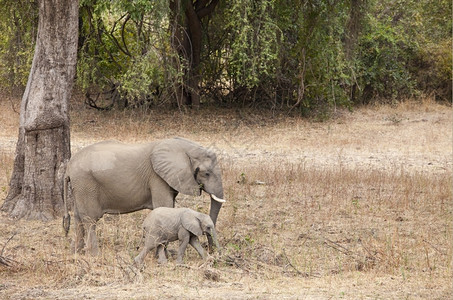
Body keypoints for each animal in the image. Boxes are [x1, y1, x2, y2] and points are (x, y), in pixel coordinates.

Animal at [62, 137, 225, 254]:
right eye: (206, 173)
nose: (212, 250)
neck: (185, 148)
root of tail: (68, 168)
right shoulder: (157, 178)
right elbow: (164, 205)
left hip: (79, 187)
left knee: (78, 218)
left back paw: (75, 253)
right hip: (86, 184)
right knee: (90, 220)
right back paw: (94, 254)